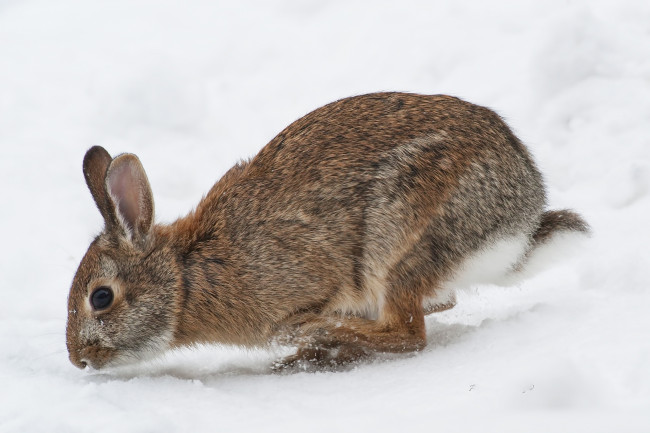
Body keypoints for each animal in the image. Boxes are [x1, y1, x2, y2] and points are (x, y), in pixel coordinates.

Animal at [66, 91, 588, 368]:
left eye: (101, 297)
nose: (78, 359)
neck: (186, 277)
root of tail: (521, 220)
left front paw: (304, 333)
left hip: (397, 245)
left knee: (409, 333)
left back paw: (316, 338)